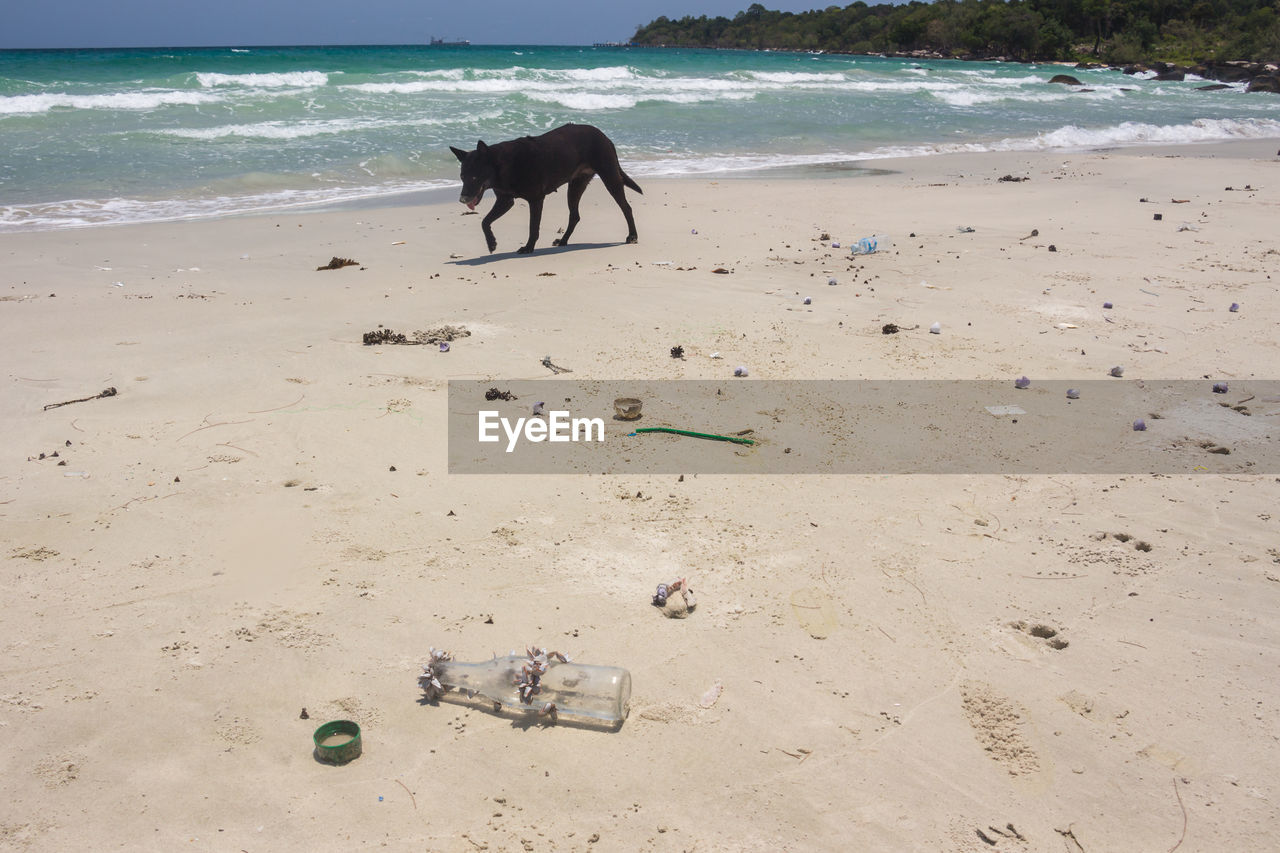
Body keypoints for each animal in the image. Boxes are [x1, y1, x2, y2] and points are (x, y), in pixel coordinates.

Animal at [455, 122, 645, 252]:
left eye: (475, 177)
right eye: (462, 177)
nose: (462, 199)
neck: (501, 164)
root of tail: (604, 136)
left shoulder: (536, 199)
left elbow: (533, 227)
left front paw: (528, 248)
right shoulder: (505, 200)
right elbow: (485, 221)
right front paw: (491, 243)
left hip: (610, 177)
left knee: (626, 208)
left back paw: (632, 236)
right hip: (576, 185)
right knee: (574, 216)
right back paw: (563, 241)